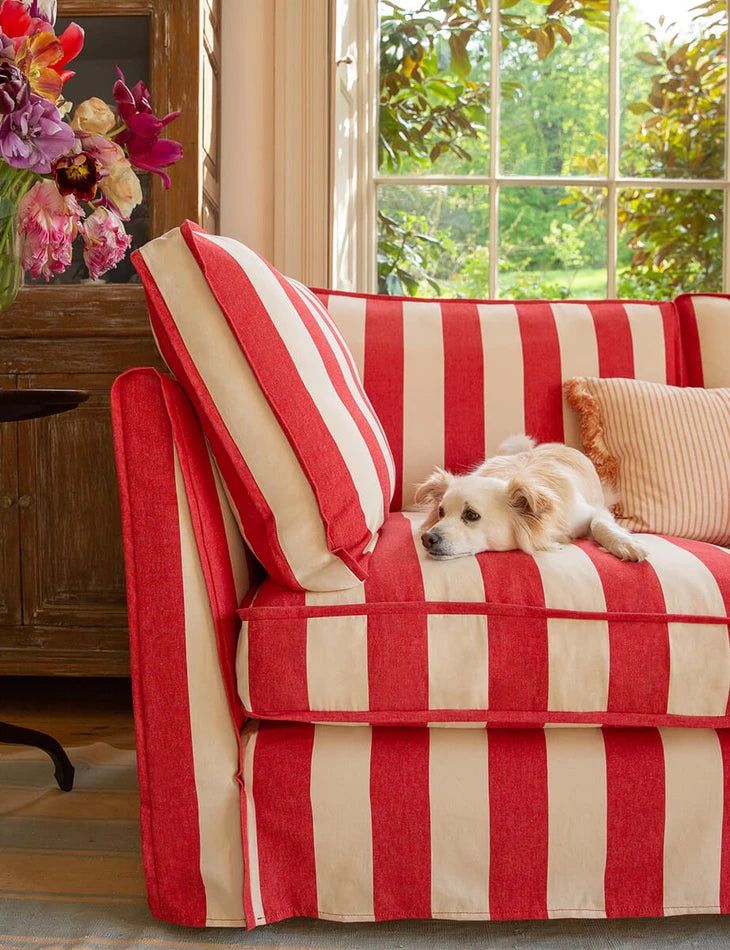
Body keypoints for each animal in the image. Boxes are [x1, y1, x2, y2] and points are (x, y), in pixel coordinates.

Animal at [412, 436, 644, 560]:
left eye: (471, 515)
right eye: (441, 513)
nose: (427, 538)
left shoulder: (593, 511)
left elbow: (599, 524)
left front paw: (625, 544)